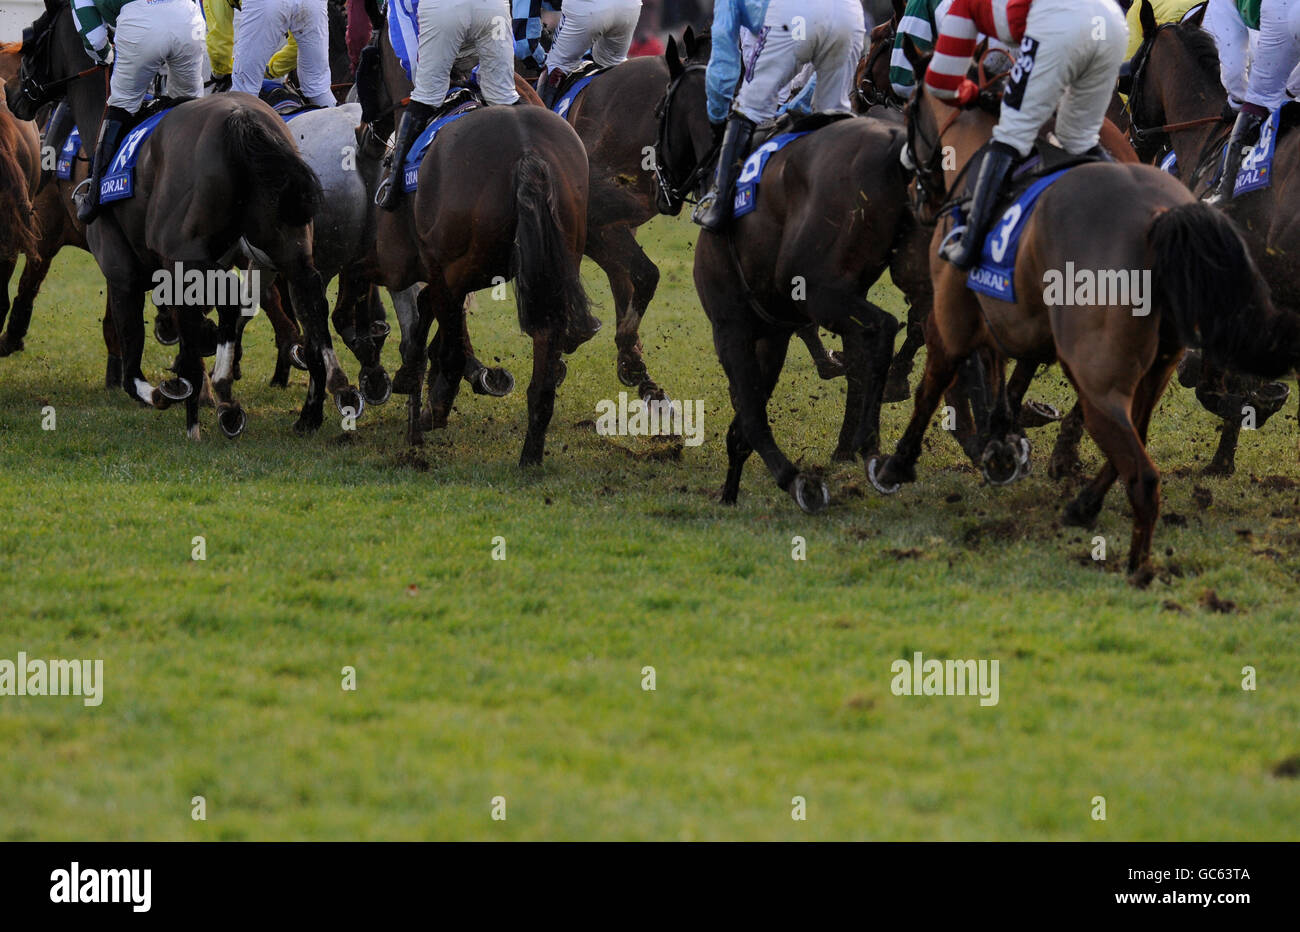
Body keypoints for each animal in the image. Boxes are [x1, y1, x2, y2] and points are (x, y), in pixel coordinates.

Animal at [7, 0, 364, 439]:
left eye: (31, 40)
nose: (13, 94)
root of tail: (243, 121)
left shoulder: (124, 271)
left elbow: (136, 363)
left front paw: (177, 394)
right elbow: (219, 318)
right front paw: (213, 391)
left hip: (187, 255)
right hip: (288, 245)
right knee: (309, 301)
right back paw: (322, 401)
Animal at [857, 47, 1294, 582]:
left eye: (909, 108)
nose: (914, 187)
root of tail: (1160, 220)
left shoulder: (952, 317)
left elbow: (932, 384)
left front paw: (899, 462)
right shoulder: (1004, 314)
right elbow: (996, 371)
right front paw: (1000, 441)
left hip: (1099, 374)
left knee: (1142, 472)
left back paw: (1133, 561)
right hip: (1151, 370)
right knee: (1137, 439)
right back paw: (1087, 503)